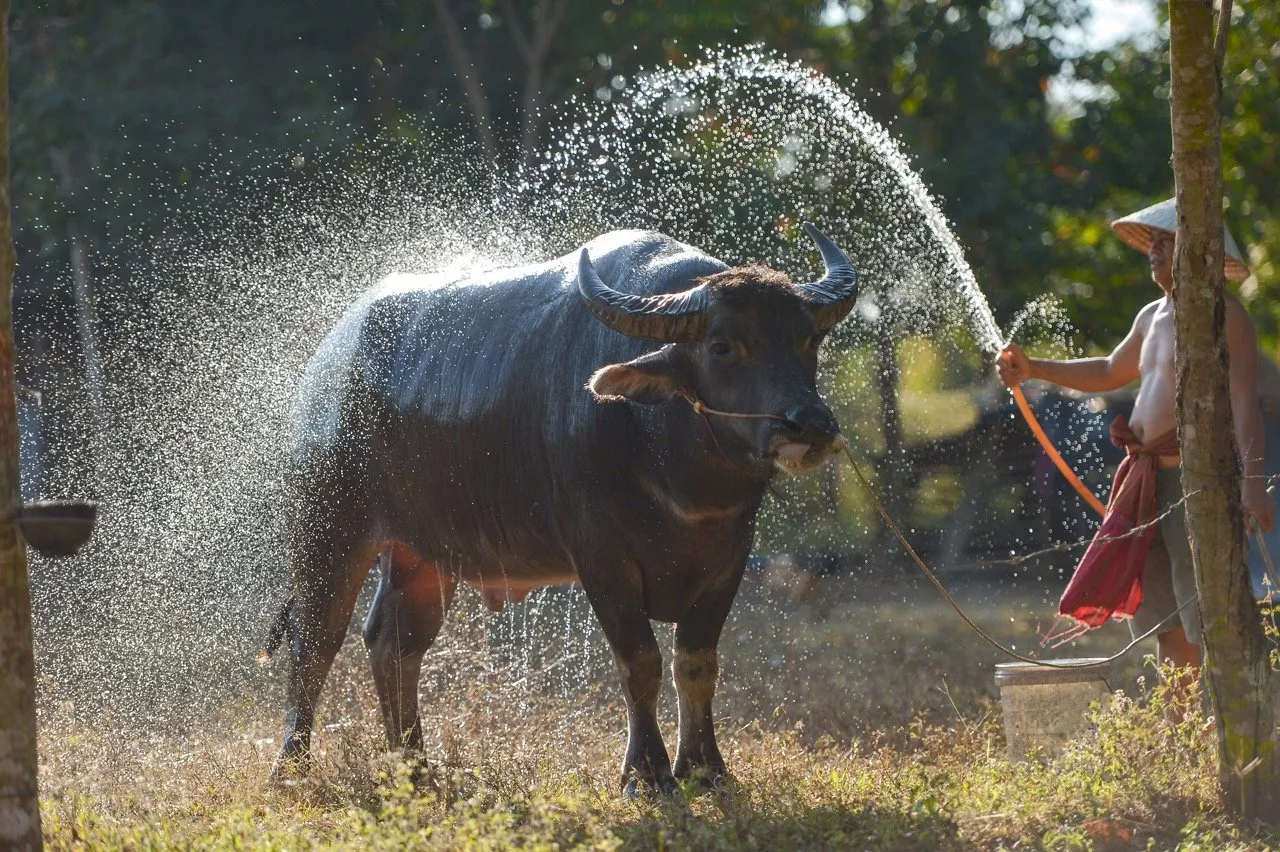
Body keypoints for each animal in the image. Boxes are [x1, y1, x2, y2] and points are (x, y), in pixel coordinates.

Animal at [264, 224, 857, 793]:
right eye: (722, 345)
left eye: (808, 338)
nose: (808, 423)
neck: (679, 472)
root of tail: (322, 374)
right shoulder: (601, 556)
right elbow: (640, 663)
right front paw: (647, 775)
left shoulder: (731, 556)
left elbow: (696, 665)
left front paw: (705, 768)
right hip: (328, 528)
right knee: (315, 642)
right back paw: (292, 766)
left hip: (422, 553)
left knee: (394, 640)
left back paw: (412, 766)